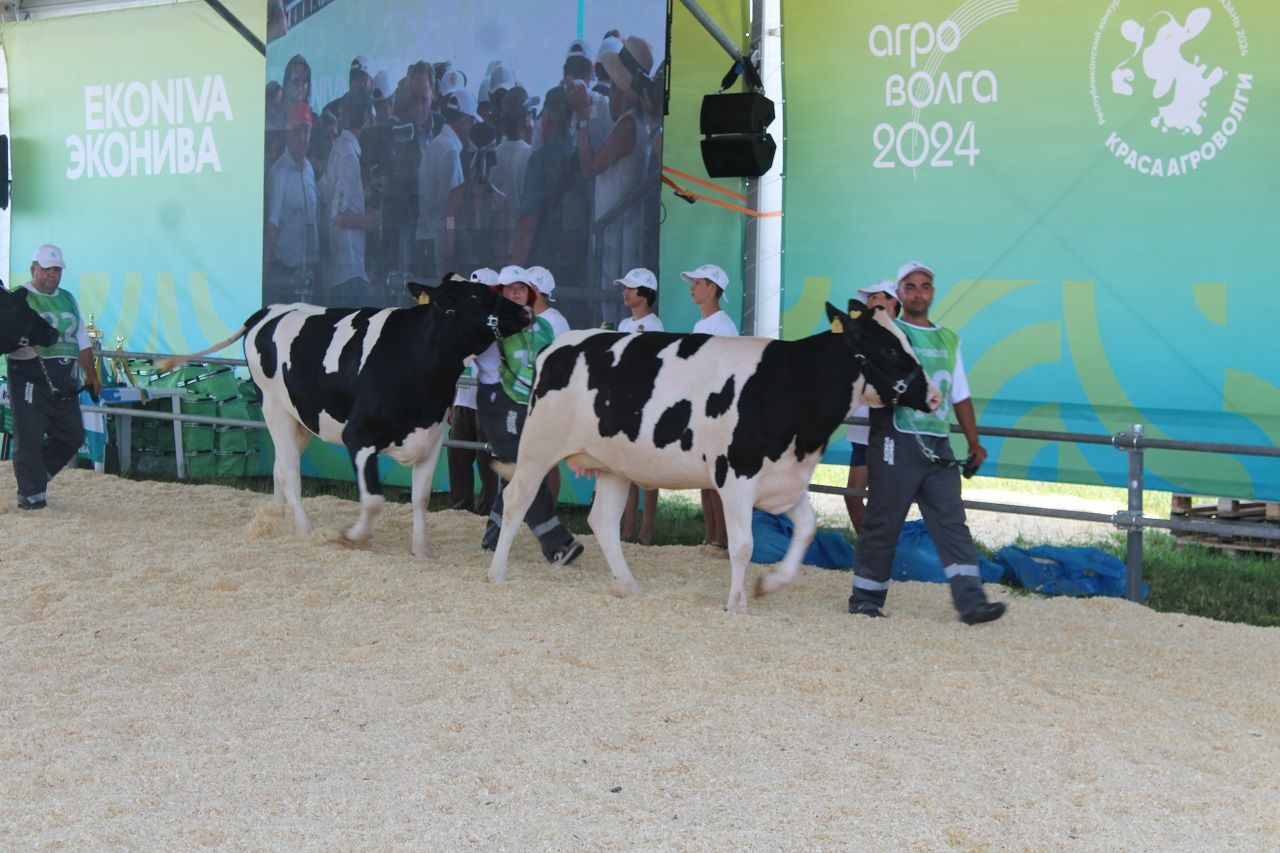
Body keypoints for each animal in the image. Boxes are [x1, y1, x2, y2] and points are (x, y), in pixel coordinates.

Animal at [163, 275, 529, 555]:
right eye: (474, 295)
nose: (525, 310)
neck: (418, 361)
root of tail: (268, 311)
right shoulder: (358, 437)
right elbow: (374, 501)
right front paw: (349, 536)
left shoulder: (432, 438)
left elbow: (421, 498)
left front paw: (421, 549)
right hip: (274, 408)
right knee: (291, 473)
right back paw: (306, 531)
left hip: (301, 418)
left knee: (280, 466)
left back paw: (275, 520)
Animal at [486, 302, 942, 607]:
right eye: (889, 349)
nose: (935, 395)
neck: (792, 383)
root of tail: (558, 345)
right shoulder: (736, 477)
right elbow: (742, 545)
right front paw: (736, 603)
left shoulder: (785, 481)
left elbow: (806, 531)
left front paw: (769, 585)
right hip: (538, 446)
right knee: (516, 499)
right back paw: (497, 573)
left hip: (614, 464)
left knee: (602, 521)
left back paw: (629, 586)